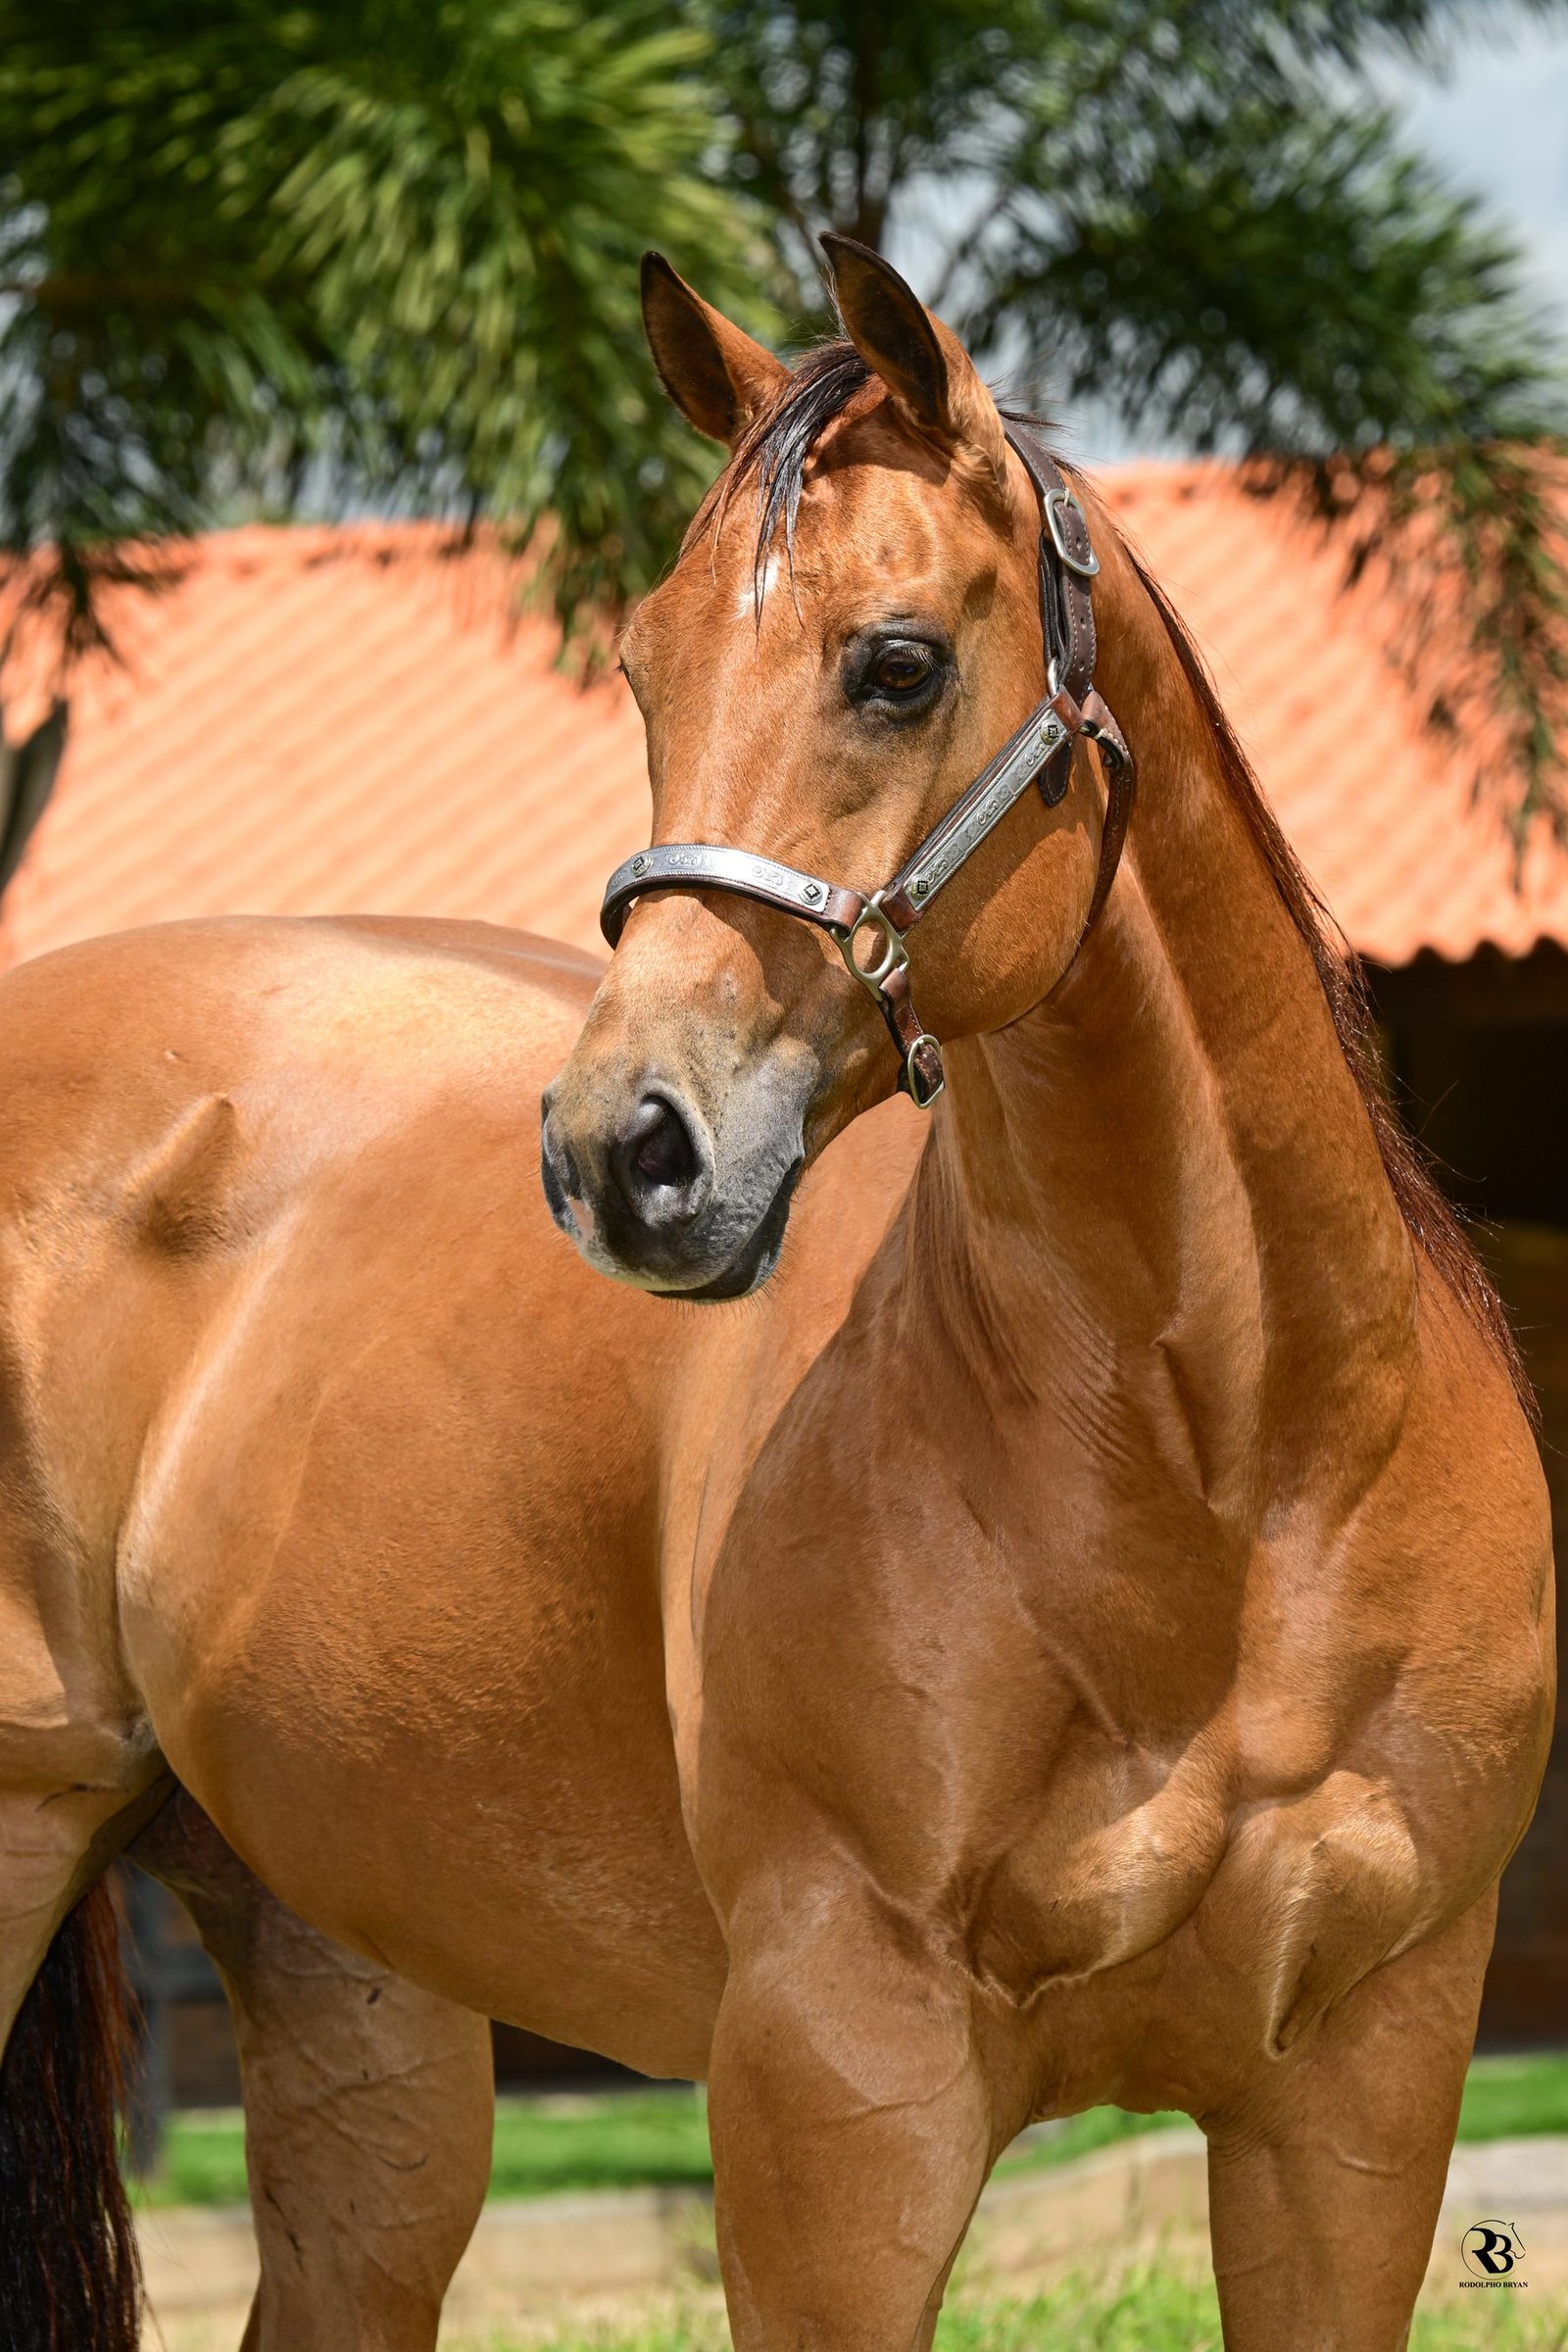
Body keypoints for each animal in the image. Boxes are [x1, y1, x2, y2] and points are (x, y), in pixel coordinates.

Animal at [0, 237, 1552, 2352]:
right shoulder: (838, 2091)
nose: (620, 1151)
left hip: (352, 1980)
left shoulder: (1359, 2101)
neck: (1245, 1480)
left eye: (895, 663)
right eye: (644, 667)